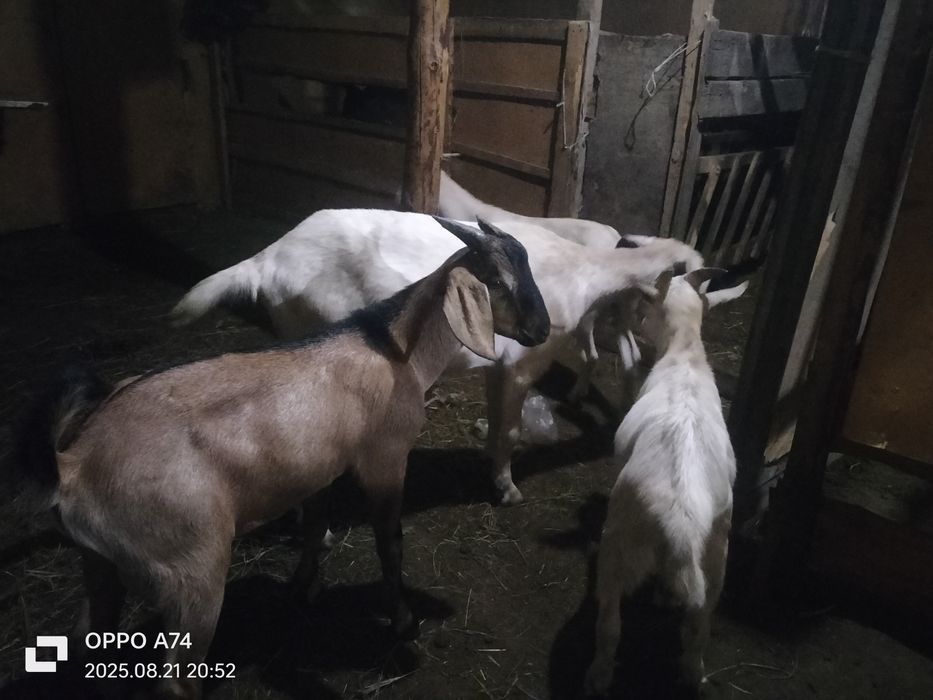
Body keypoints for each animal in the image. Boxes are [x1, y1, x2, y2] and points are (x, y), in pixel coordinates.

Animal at [20, 218, 549, 700]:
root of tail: (72, 466)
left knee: (86, 639)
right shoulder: (384, 458)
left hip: (100, 562)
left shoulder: (320, 469)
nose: (541, 329)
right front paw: (402, 621)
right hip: (189, 568)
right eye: (496, 280)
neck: (394, 349)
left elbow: (314, 528)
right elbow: (390, 544)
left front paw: (302, 589)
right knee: (175, 679)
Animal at [172, 211, 703, 505]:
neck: (584, 270)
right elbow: (512, 429)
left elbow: (498, 421)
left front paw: (491, 465)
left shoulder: (499, 365)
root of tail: (267, 259)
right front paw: (507, 489)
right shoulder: (525, 362)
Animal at [584, 270, 748, 696]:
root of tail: (681, 526)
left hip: (618, 547)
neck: (685, 353)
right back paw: (695, 677)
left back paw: (598, 677)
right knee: (697, 630)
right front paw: (663, 595)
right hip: (716, 561)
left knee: (609, 627)